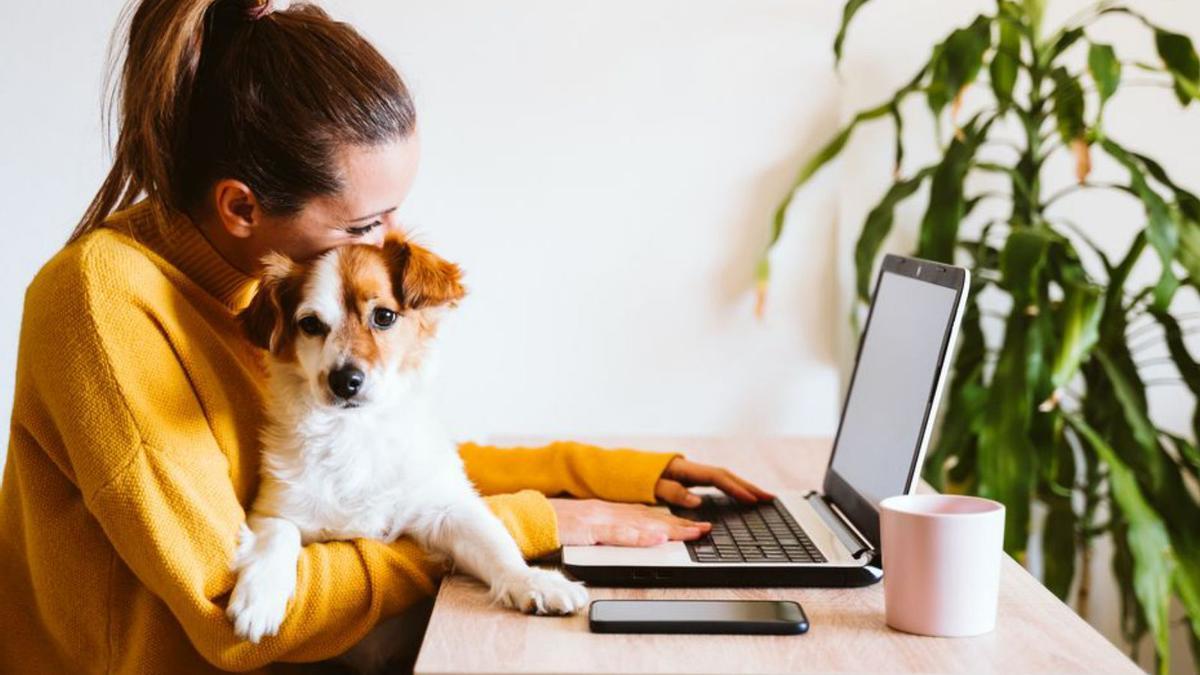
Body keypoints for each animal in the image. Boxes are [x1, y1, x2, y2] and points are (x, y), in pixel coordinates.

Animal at [225, 230, 590, 662]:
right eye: (310, 324)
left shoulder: (446, 509)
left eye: (384, 316)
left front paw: (533, 581)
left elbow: (495, 543)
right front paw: (260, 598)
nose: (344, 381)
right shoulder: (273, 510)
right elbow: (278, 538)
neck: (356, 433)